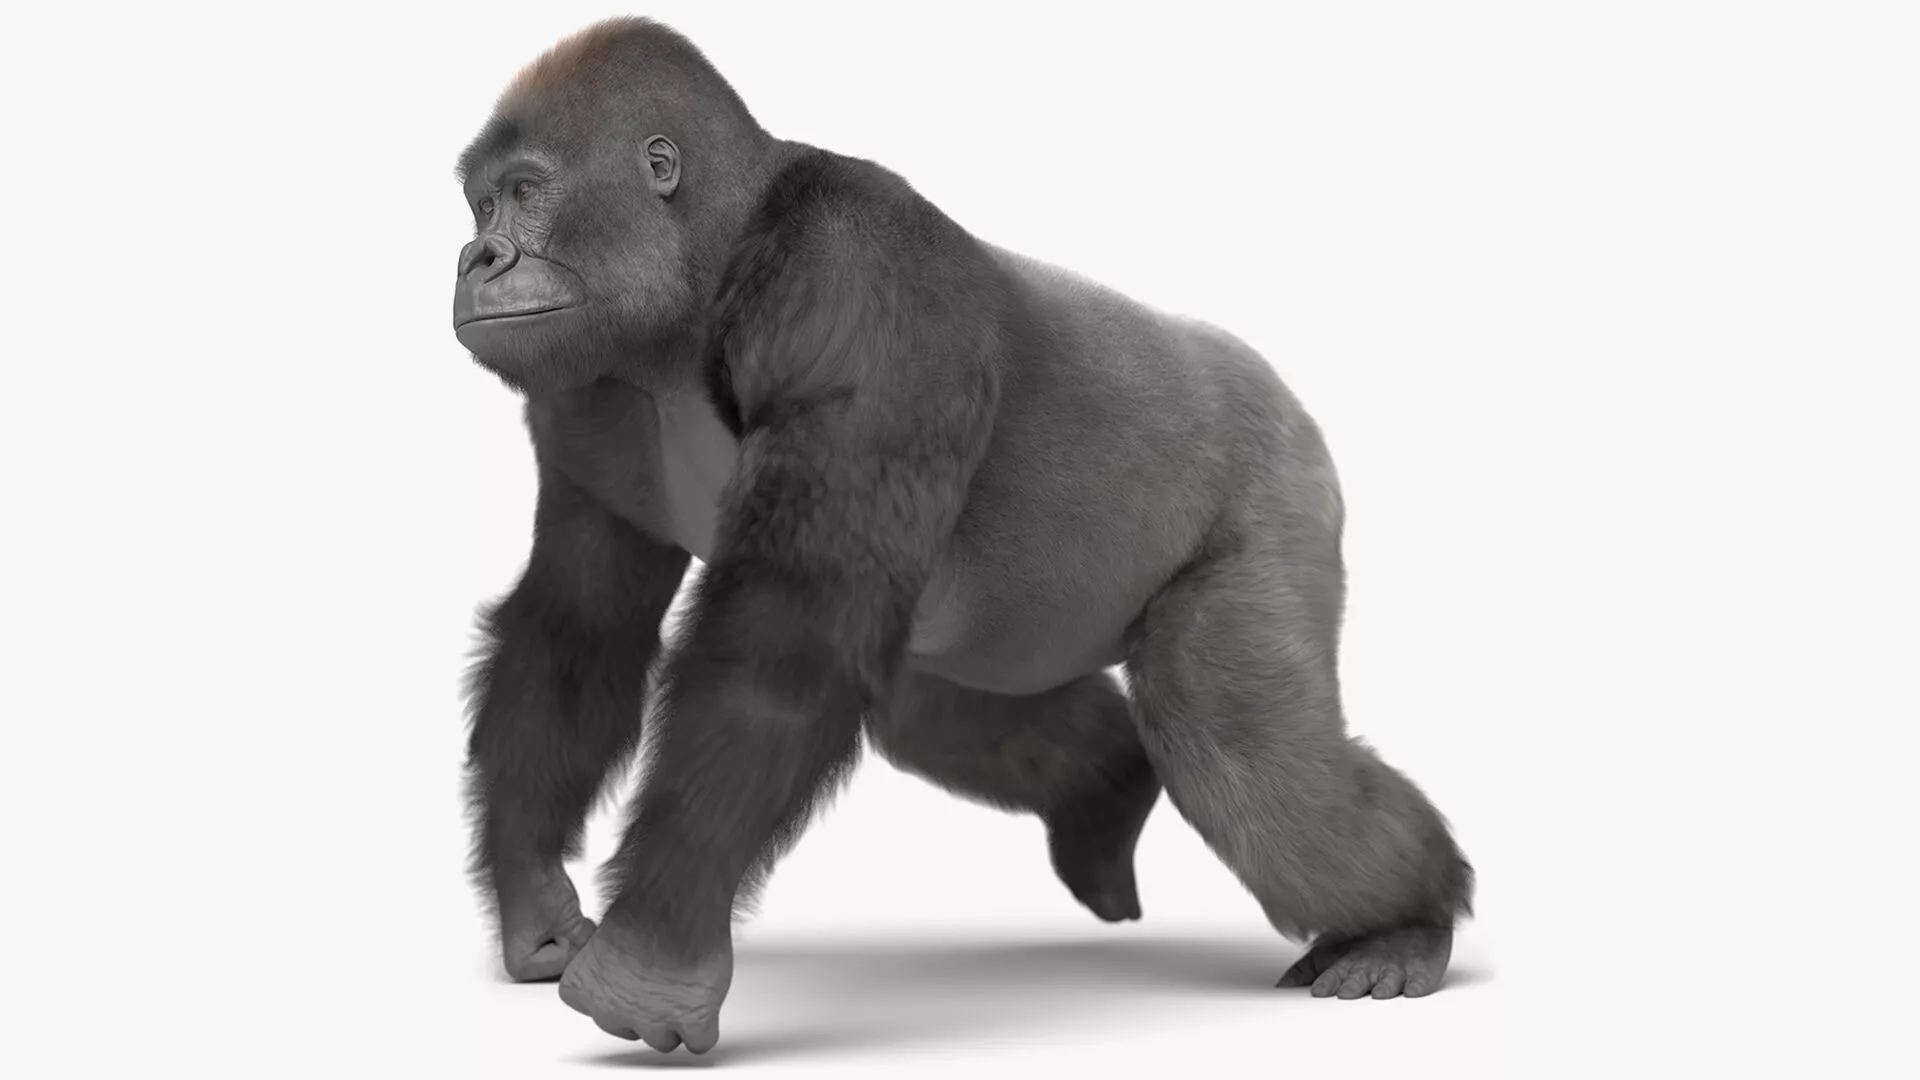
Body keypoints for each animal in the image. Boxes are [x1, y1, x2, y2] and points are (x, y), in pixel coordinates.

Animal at [454, 17, 1473, 1055]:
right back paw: (1109, 796)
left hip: (1279, 491)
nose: (477, 259)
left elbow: (776, 657)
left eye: (527, 193)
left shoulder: (862, 293)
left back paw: (1406, 923)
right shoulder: (590, 386)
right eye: (478, 203)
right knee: (938, 707)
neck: (713, 263)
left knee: (1240, 754)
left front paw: (648, 968)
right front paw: (536, 895)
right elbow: (580, 626)